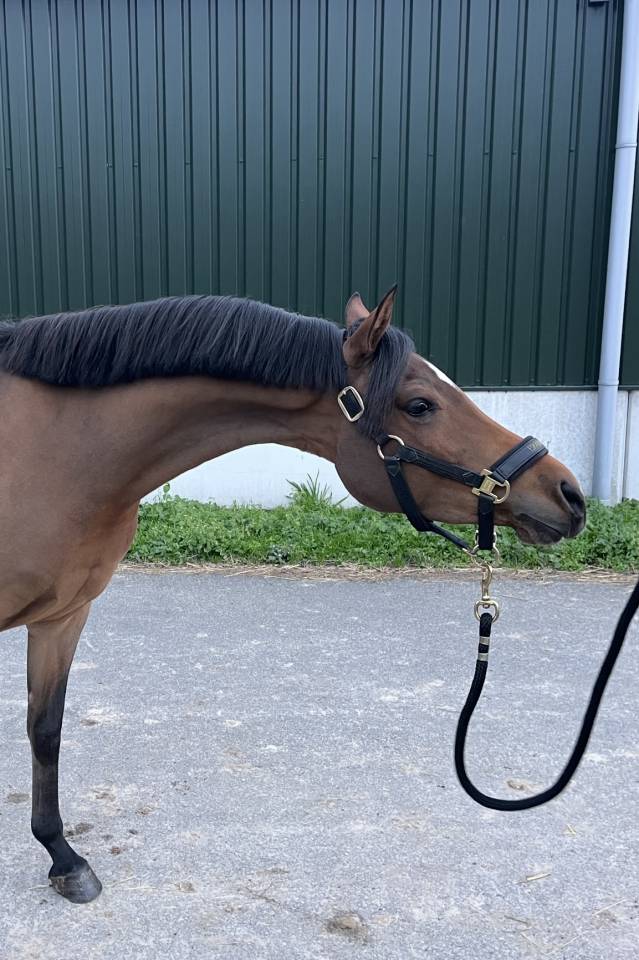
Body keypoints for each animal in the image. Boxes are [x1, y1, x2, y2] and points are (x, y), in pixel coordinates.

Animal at [0, 287, 585, 903]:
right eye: (421, 405)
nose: (568, 494)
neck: (57, 452)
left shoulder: (65, 616)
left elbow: (45, 729)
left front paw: (63, 857)